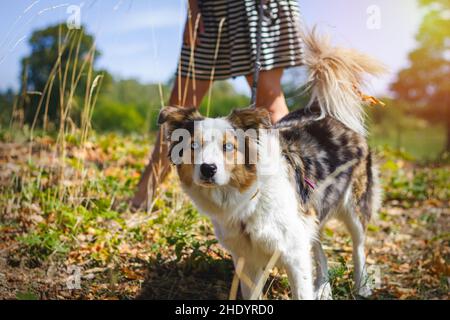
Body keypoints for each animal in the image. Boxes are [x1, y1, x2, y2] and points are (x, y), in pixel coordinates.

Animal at [158, 30, 386, 300]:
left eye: (228, 147)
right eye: (193, 145)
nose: (207, 169)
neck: (248, 198)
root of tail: (325, 111)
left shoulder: (293, 252)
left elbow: (302, 290)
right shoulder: (247, 258)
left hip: (354, 205)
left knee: (358, 246)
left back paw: (362, 286)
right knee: (319, 248)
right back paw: (324, 288)